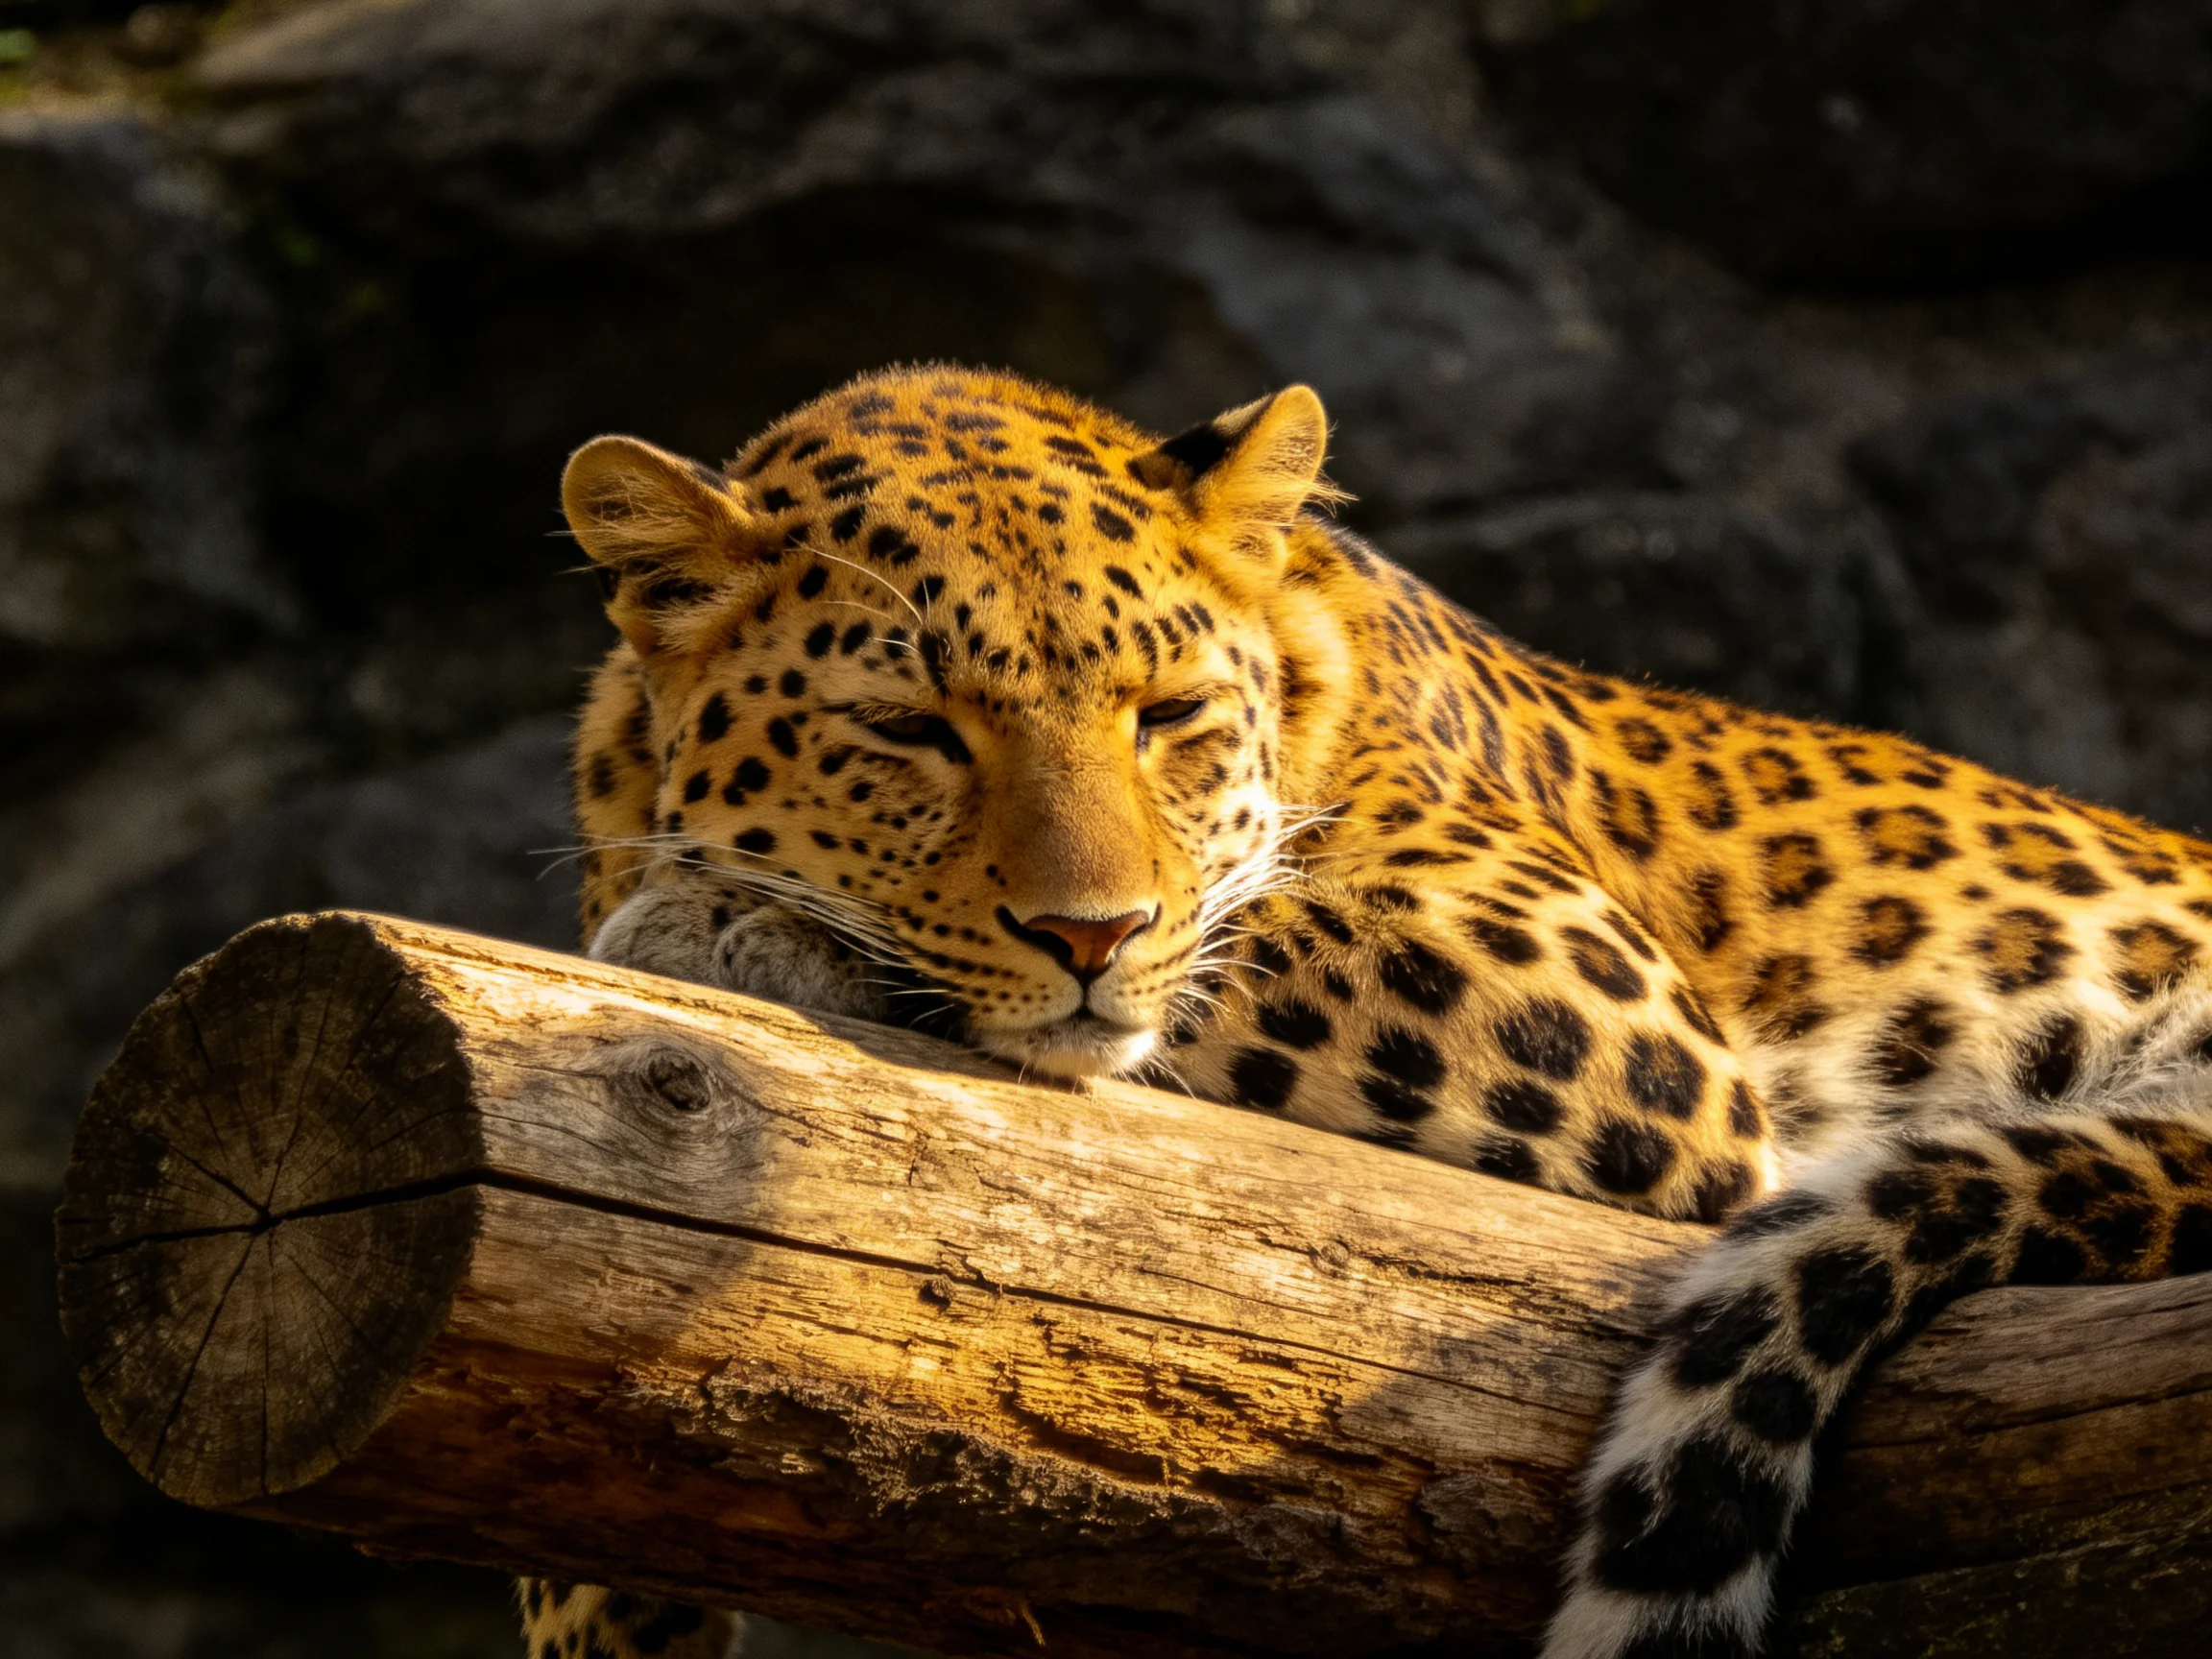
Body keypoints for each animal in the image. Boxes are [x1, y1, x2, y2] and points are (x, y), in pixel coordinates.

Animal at [522, 363, 2212, 1659]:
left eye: (1169, 715)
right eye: (908, 727)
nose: (1090, 932)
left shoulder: (1601, 1012)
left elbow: (1235, 947)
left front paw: (716, 919)